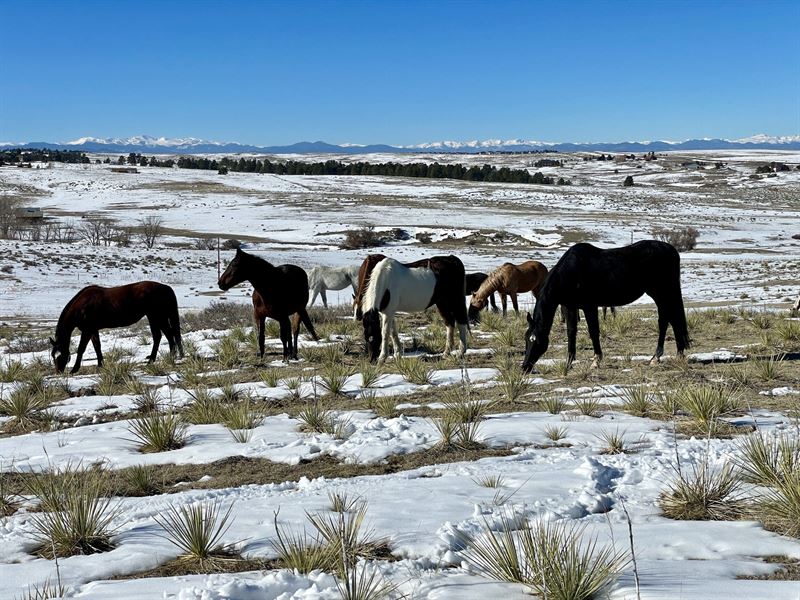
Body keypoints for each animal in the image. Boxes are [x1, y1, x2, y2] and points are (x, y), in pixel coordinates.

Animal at [49, 278, 184, 372]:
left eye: (60, 356)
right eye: (53, 356)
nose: (58, 371)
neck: (82, 306)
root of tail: (166, 288)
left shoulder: (87, 330)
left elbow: (81, 348)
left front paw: (74, 369)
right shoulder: (93, 330)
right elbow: (97, 346)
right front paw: (100, 365)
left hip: (156, 317)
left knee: (163, 336)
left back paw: (158, 359)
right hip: (157, 317)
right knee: (165, 335)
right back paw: (164, 357)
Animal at [520, 241, 692, 372]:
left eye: (537, 341)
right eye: (526, 339)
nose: (524, 367)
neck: (570, 273)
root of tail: (671, 250)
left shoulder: (589, 306)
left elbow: (593, 331)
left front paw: (596, 361)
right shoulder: (570, 307)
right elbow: (571, 332)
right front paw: (569, 363)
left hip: (661, 293)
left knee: (664, 321)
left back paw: (656, 357)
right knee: (673, 319)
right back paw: (679, 354)